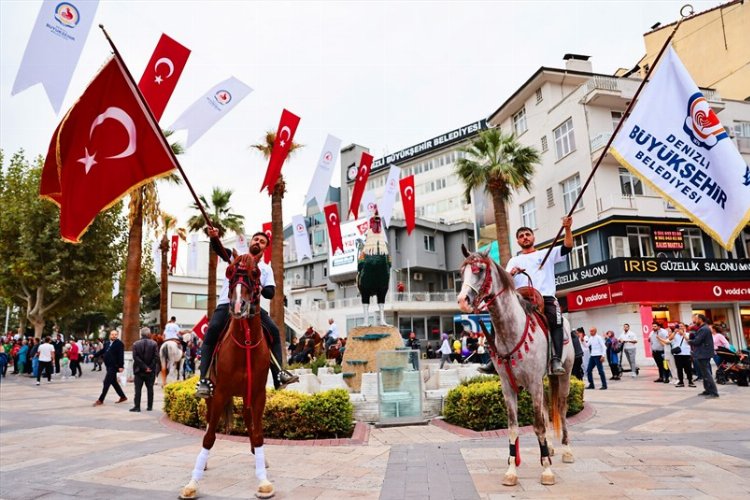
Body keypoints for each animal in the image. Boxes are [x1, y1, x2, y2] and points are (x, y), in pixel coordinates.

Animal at [181, 256, 274, 498]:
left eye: (255, 273)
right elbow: (209, 437)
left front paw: (263, 480)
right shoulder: (221, 393)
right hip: (213, 396)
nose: (238, 305)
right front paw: (193, 483)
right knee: (208, 425)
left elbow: (258, 435)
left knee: (250, 425)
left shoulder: (258, 394)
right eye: (230, 273)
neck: (245, 342)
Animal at [458, 244, 576, 486]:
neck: (511, 329)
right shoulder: (508, 386)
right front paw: (512, 470)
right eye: (461, 272)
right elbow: (513, 428)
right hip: (543, 381)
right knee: (547, 409)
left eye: (479, 270)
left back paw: (566, 449)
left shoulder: (533, 382)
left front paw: (546, 470)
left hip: (565, 374)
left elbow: (538, 425)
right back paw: (550, 448)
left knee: (561, 408)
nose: (463, 300)